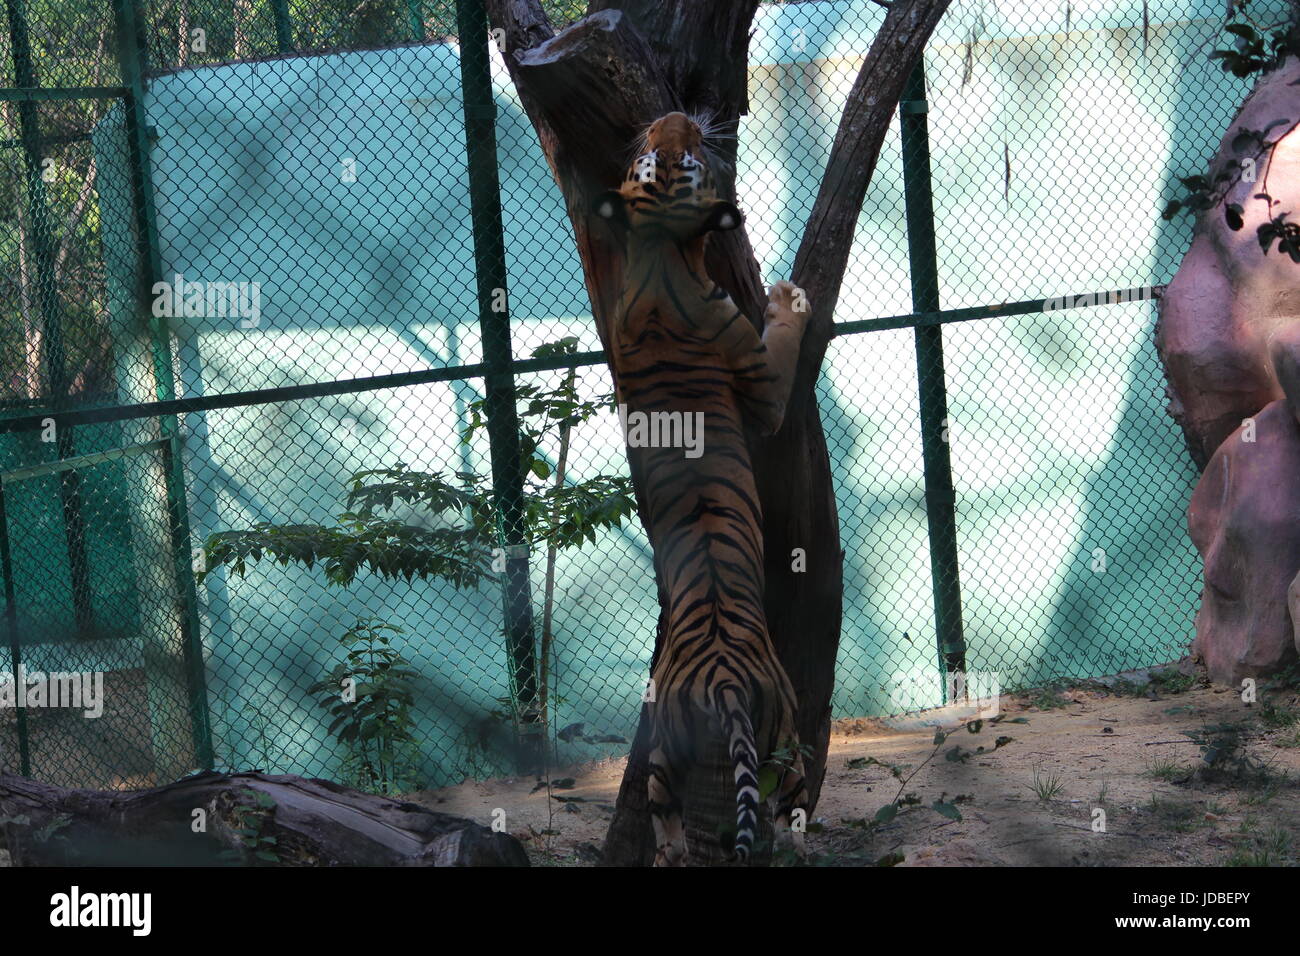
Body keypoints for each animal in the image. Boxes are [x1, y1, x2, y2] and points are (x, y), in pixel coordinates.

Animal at [592, 111, 811, 868]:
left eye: (661, 154)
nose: (675, 117)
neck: (660, 249)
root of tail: (721, 677)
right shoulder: (764, 382)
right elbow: (783, 339)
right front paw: (789, 296)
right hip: (784, 727)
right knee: (790, 798)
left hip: (665, 744)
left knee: (668, 819)